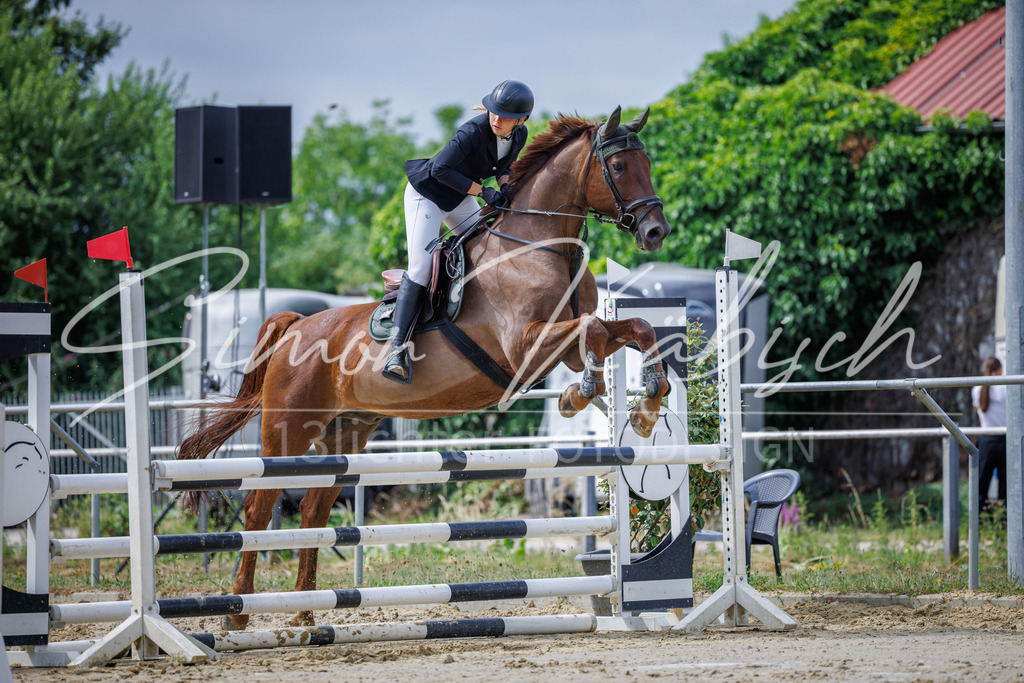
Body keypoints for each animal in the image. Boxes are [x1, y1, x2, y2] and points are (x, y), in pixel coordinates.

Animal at [177, 105, 673, 630]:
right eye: (618, 166)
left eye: (645, 162)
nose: (655, 231)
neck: (537, 247)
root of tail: (296, 328)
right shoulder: (525, 345)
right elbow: (594, 331)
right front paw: (580, 393)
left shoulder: (565, 346)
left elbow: (636, 327)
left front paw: (646, 408)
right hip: (286, 433)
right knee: (258, 509)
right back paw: (238, 613)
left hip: (345, 431)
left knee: (312, 510)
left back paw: (306, 614)